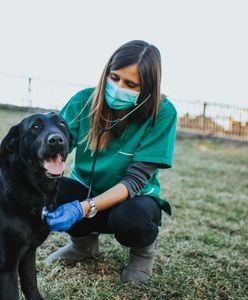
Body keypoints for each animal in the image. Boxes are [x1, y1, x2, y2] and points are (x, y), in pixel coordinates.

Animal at [0, 112, 71, 300]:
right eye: (35, 127)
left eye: (62, 124)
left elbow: (31, 285)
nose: (56, 140)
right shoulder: (6, 267)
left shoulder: (28, 254)